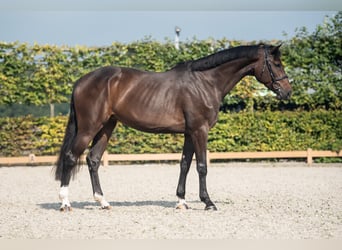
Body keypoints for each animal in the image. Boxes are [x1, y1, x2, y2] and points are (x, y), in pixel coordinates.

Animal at [54, 44, 292, 211]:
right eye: (277, 64)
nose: (287, 92)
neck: (205, 82)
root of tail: (80, 81)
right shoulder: (200, 130)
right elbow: (202, 166)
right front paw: (208, 202)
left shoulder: (189, 133)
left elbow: (184, 164)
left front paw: (181, 201)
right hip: (89, 128)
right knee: (70, 157)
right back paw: (65, 203)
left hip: (106, 127)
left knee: (93, 160)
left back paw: (103, 202)